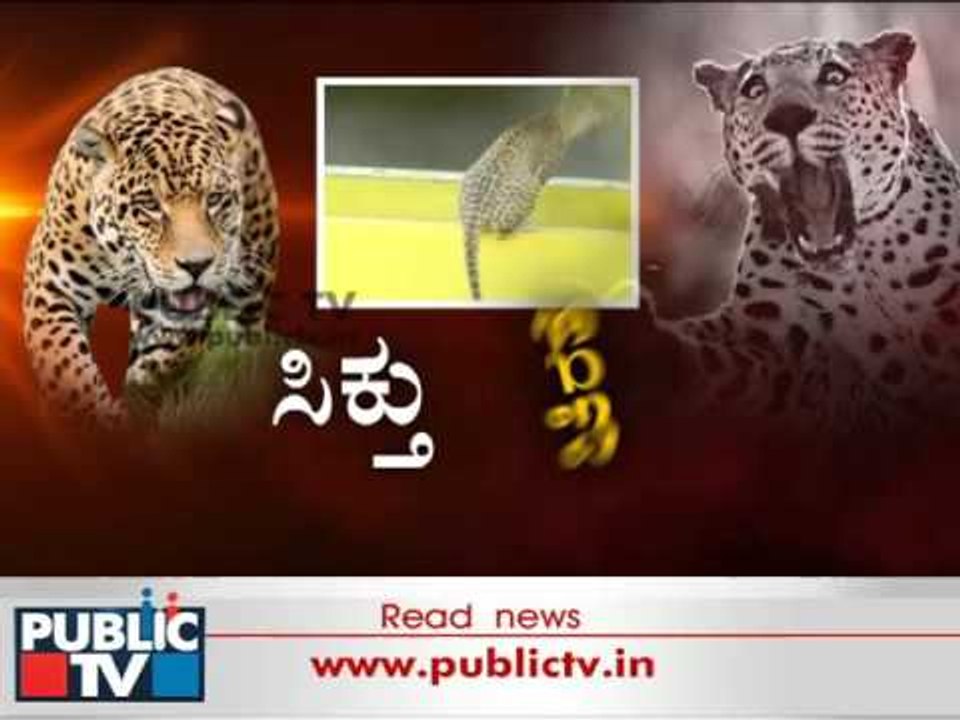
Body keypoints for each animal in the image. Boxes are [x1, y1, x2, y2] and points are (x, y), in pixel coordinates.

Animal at [22, 66, 279, 427]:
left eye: (214, 199)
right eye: (149, 205)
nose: (197, 266)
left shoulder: (183, 320)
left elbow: (156, 369)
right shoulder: (50, 288)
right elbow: (69, 366)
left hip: (253, 283)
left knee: (246, 343)